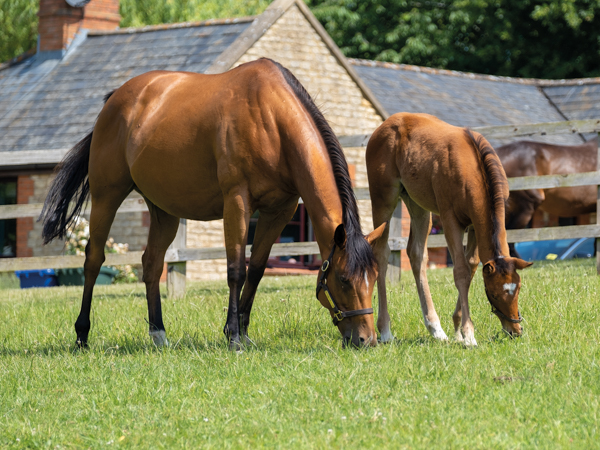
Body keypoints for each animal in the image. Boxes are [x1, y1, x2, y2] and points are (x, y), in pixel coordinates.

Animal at [43, 59, 390, 348]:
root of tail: (115, 100)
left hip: (164, 210)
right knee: (93, 260)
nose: (366, 339)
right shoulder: (236, 202)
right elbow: (236, 269)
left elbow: (257, 269)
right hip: (107, 195)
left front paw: (244, 331)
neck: (271, 120)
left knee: (152, 264)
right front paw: (233, 335)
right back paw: (82, 335)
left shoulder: (281, 210)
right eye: (343, 279)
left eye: (374, 277)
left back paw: (158, 334)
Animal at [368, 112, 532, 344]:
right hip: (383, 199)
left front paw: (457, 328)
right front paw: (468, 334)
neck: (472, 168)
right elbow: (461, 271)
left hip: (418, 205)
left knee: (417, 254)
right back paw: (385, 330)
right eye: (493, 294)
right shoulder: (450, 220)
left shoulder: (475, 224)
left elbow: (471, 266)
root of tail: (386, 124)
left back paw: (435, 329)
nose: (515, 330)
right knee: (381, 253)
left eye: (517, 288)